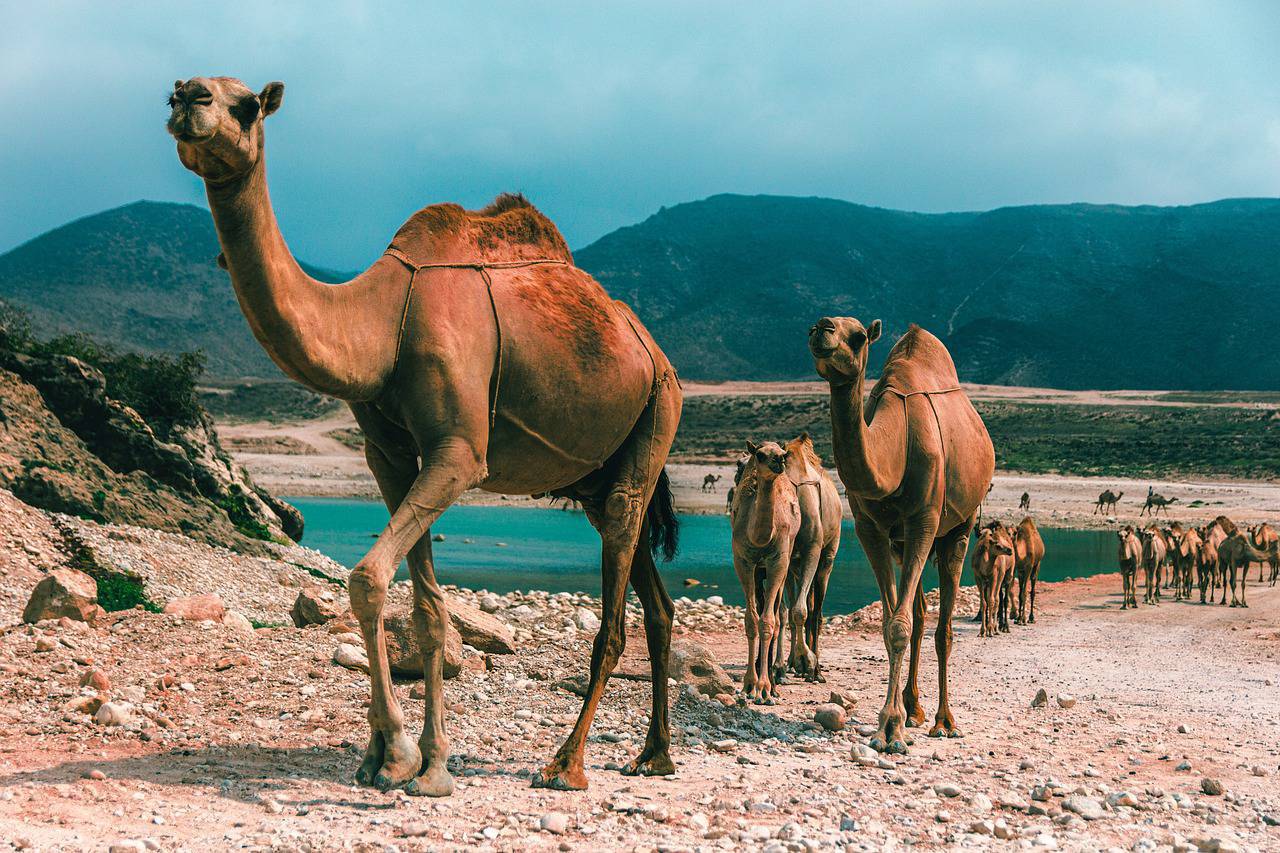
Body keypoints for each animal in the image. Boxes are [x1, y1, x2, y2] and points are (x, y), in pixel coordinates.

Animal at [172, 76, 691, 794]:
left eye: (246, 105)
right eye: (179, 89)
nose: (187, 99)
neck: (383, 319)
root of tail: (651, 349)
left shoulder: (459, 452)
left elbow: (367, 579)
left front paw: (396, 754)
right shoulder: (388, 453)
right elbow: (424, 607)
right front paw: (419, 759)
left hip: (659, 407)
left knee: (616, 601)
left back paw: (567, 763)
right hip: (599, 469)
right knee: (656, 598)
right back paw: (655, 754)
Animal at [732, 440, 798, 701]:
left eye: (784, 454)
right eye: (759, 455)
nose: (778, 461)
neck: (760, 538)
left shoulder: (777, 561)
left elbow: (768, 621)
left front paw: (764, 688)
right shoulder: (743, 561)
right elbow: (751, 620)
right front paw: (749, 685)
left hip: (783, 564)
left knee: (777, 614)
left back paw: (773, 680)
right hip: (759, 571)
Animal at [773, 432, 844, 676]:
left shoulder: (812, 552)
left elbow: (802, 611)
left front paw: (807, 662)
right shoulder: (789, 559)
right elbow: (788, 610)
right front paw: (788, 663)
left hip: (824, 558)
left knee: (815, 611)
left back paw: (815, 667)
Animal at [803, 313, 993, 753]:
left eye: (858, 337)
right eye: (814, 329)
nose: (823, 327)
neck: (894, 448)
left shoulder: (923, 520)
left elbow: (900, 625)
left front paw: (890, 729)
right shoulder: (871, 529)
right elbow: (893, 620)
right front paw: (893, 720)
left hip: (957, 528)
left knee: (942, 627)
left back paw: (943, 720)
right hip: (904, 543)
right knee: (921, 615)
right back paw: (915, 708)